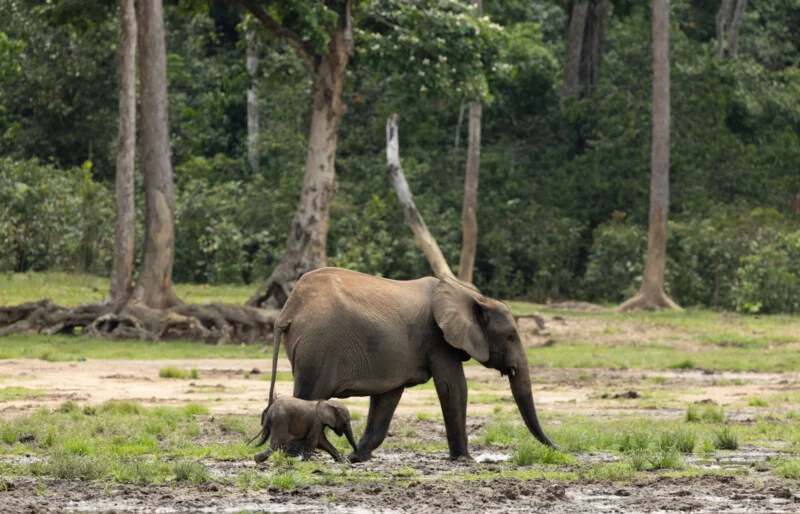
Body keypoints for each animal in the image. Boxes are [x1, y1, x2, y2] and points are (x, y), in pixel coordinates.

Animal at [267, 267, 556, 463]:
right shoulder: (438, 339)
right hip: (318, 346)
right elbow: (453, 387)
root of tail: (288, 311)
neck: (472, 296)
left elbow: (387, 398)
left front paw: (358, 458)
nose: (558, 449)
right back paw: (295, 456)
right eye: (511, 336)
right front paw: (465, 460)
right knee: (309, 394)